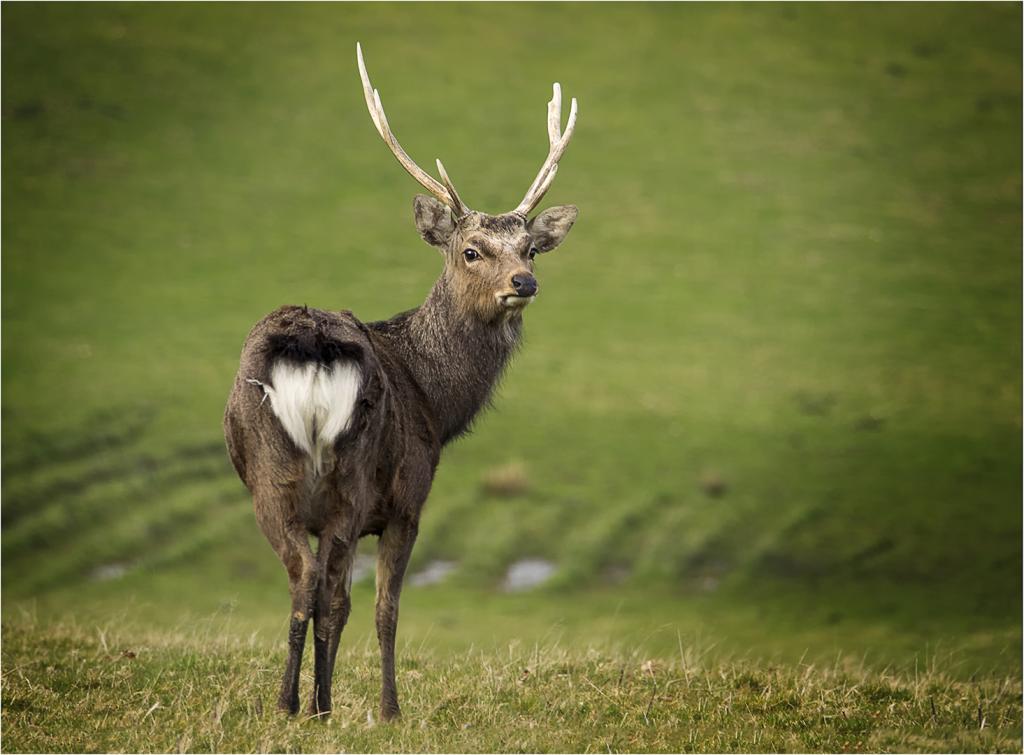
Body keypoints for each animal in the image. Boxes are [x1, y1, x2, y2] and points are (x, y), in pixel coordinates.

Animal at [223, 44, 577, 721]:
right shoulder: (406, 500)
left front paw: (331, 699)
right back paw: (308, 704)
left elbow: (343, 603)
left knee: (304, 581)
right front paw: (388, 709)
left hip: (269, 478)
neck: (437, 399)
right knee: (324, 589)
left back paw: (295, 703)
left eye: (531, 248)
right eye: (471, 250)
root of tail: (311, 348)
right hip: (351, 477)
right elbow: (383, 609)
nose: (524, 282)